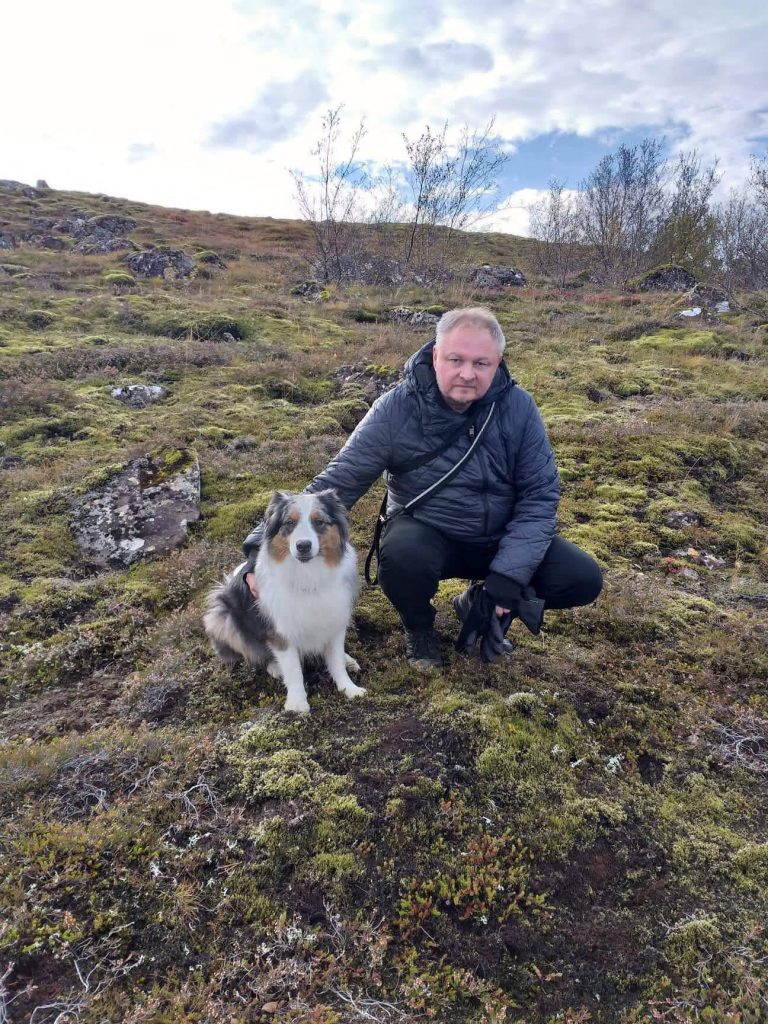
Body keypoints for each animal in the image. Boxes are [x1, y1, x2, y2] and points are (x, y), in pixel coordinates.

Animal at [204, 490, 365, 715]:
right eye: (290, 522)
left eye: (319, 522)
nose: (303, 546)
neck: (308, 577)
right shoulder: (281, 632)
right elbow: (293, 670)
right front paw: (297, 704)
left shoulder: (334, 620)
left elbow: (335, 661)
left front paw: (349, 688)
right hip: (222, 617)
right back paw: (274, 667)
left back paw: (347, 659)